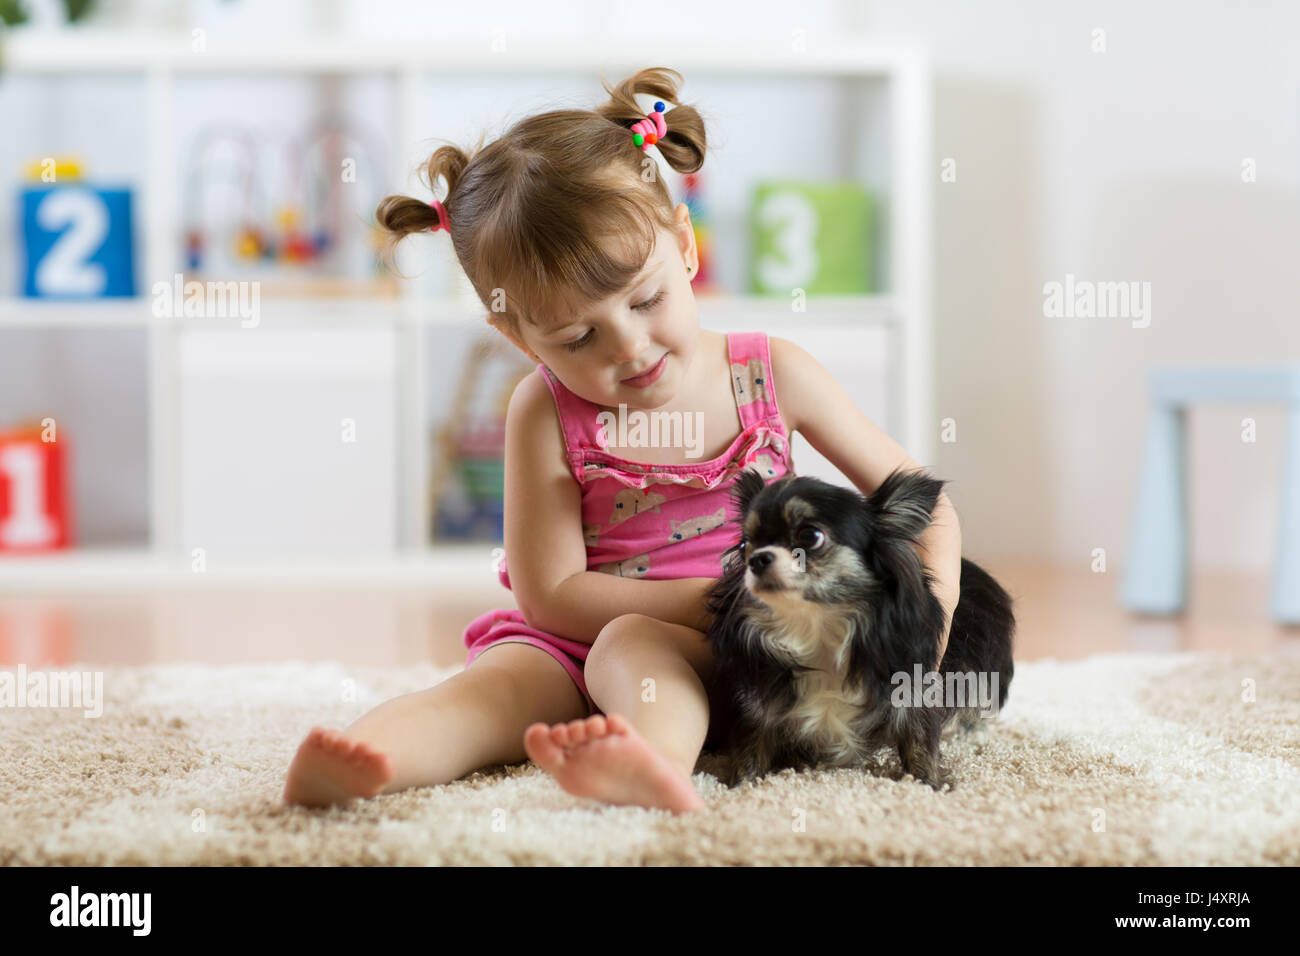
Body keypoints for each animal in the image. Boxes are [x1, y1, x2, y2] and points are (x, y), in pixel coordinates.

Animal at [702, 468, 1013, 790]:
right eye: (744, 545)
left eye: (810, 536)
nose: (756, 558)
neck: (818, 628)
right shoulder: (758, 703)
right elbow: (750, 749)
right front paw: (740, 786)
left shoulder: (915, 689)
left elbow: (920, 744)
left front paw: (928, 786)